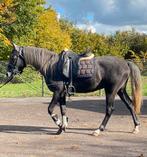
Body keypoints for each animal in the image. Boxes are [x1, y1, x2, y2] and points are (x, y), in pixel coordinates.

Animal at [6, 43, 142, 136]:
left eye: (13, 57)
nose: (7, 73)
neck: (51, 66)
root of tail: (126, 63)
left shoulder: (57, 92)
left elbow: (50, 109)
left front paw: (59, 124)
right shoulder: (62, 94)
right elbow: (63, 110)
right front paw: (62, 127)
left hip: (111, 91)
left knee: (110, 109)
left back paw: (98, 130)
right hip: (120, 90)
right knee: (130, 105)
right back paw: (136, 127)